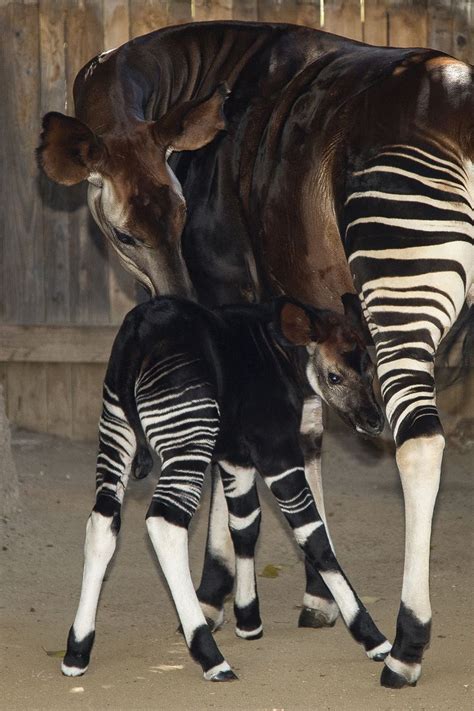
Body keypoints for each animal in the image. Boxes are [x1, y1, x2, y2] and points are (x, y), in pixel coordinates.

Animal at [62, 296, 388, 684]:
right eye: (334, 376)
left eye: (370, 370)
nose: (375, 421)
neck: (279, 351)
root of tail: (138, 335)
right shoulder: (276, 451)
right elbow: (313, 535)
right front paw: (373, 638)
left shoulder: (236, 457)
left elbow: (245, 524)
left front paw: (248, 621)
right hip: (187, 438)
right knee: (164, 523)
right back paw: (211, 656)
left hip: (117, 430)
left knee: (102, 521)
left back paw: (77, 651)